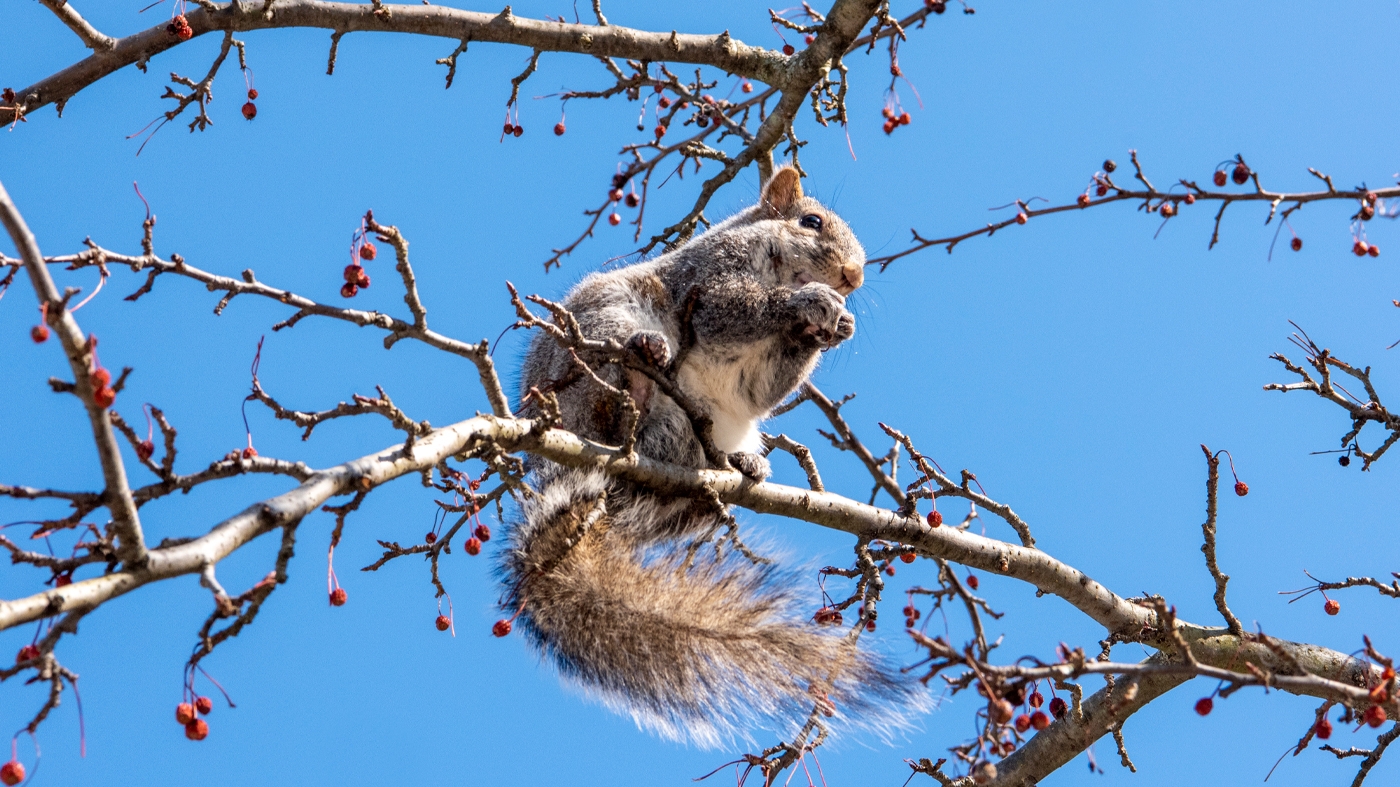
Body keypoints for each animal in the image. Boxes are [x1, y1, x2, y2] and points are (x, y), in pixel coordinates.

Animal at [500, 167, 927, 746]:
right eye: (810, 222)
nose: (853, 277)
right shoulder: (708, 279)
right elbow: (730, 310)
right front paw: (805, 304)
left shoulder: (760, 375)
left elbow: (767, 387)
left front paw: (835, 328)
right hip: (594, 347)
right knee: (614, 391)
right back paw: (638, 372)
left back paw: (737, 467)